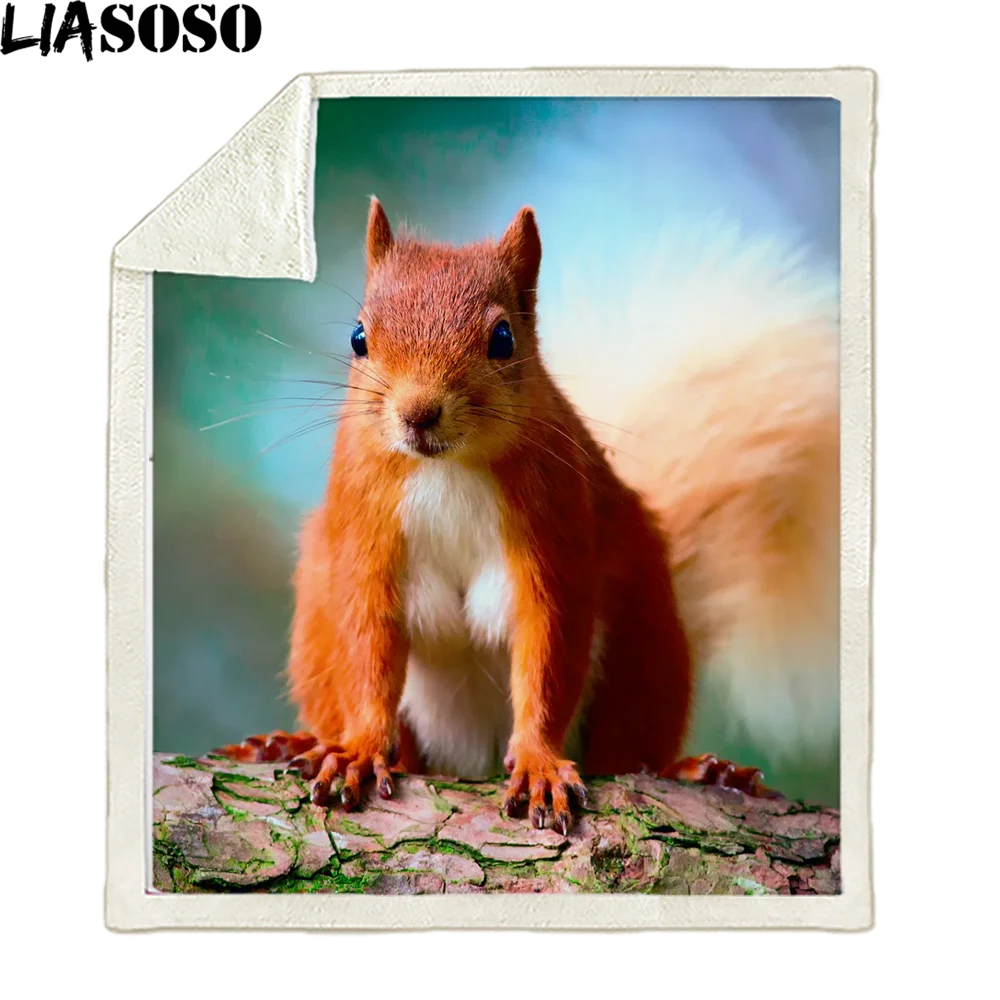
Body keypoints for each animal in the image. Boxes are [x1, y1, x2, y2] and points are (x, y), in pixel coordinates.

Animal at [216, 197, 840, 834]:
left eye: (502, 338)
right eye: (358, 336)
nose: (419, 412)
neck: (448, 467)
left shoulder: (554, 531)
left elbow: (547, 651)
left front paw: (539, 762)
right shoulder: (366, 529)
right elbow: (368, 644)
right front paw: (360, 750)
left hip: (646, 635)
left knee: (629, 749)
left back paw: (701, 771)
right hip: (317, 607)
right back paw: (289, 743)